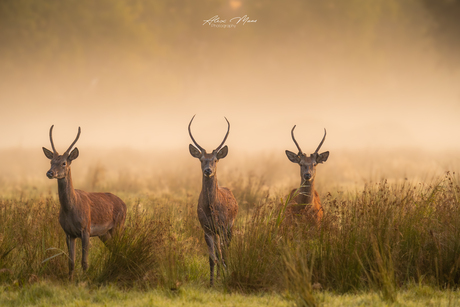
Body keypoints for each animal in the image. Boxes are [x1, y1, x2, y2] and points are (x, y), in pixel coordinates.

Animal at [42, 125, 126, 282]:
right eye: (51, 162)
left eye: (64, 163)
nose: (50, 173)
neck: (71, 209)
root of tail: (124, 204)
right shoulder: (68, 233)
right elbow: (71, 261)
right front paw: (70, 281)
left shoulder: (85, 229)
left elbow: (85, 261)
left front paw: (84, 281)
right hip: (104, 233)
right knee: (114, 249)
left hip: (118, 226)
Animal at [188, 115, 239, 286]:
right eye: (201, 159)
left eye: (215, 159)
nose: (208, 170)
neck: (211, 208)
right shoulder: (206, 228)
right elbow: (212, 258)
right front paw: (211, 283)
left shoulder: (223, 226)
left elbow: (224, 254)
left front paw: (225, 276)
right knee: (218, 251)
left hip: (230, 226)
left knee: (226, 250)